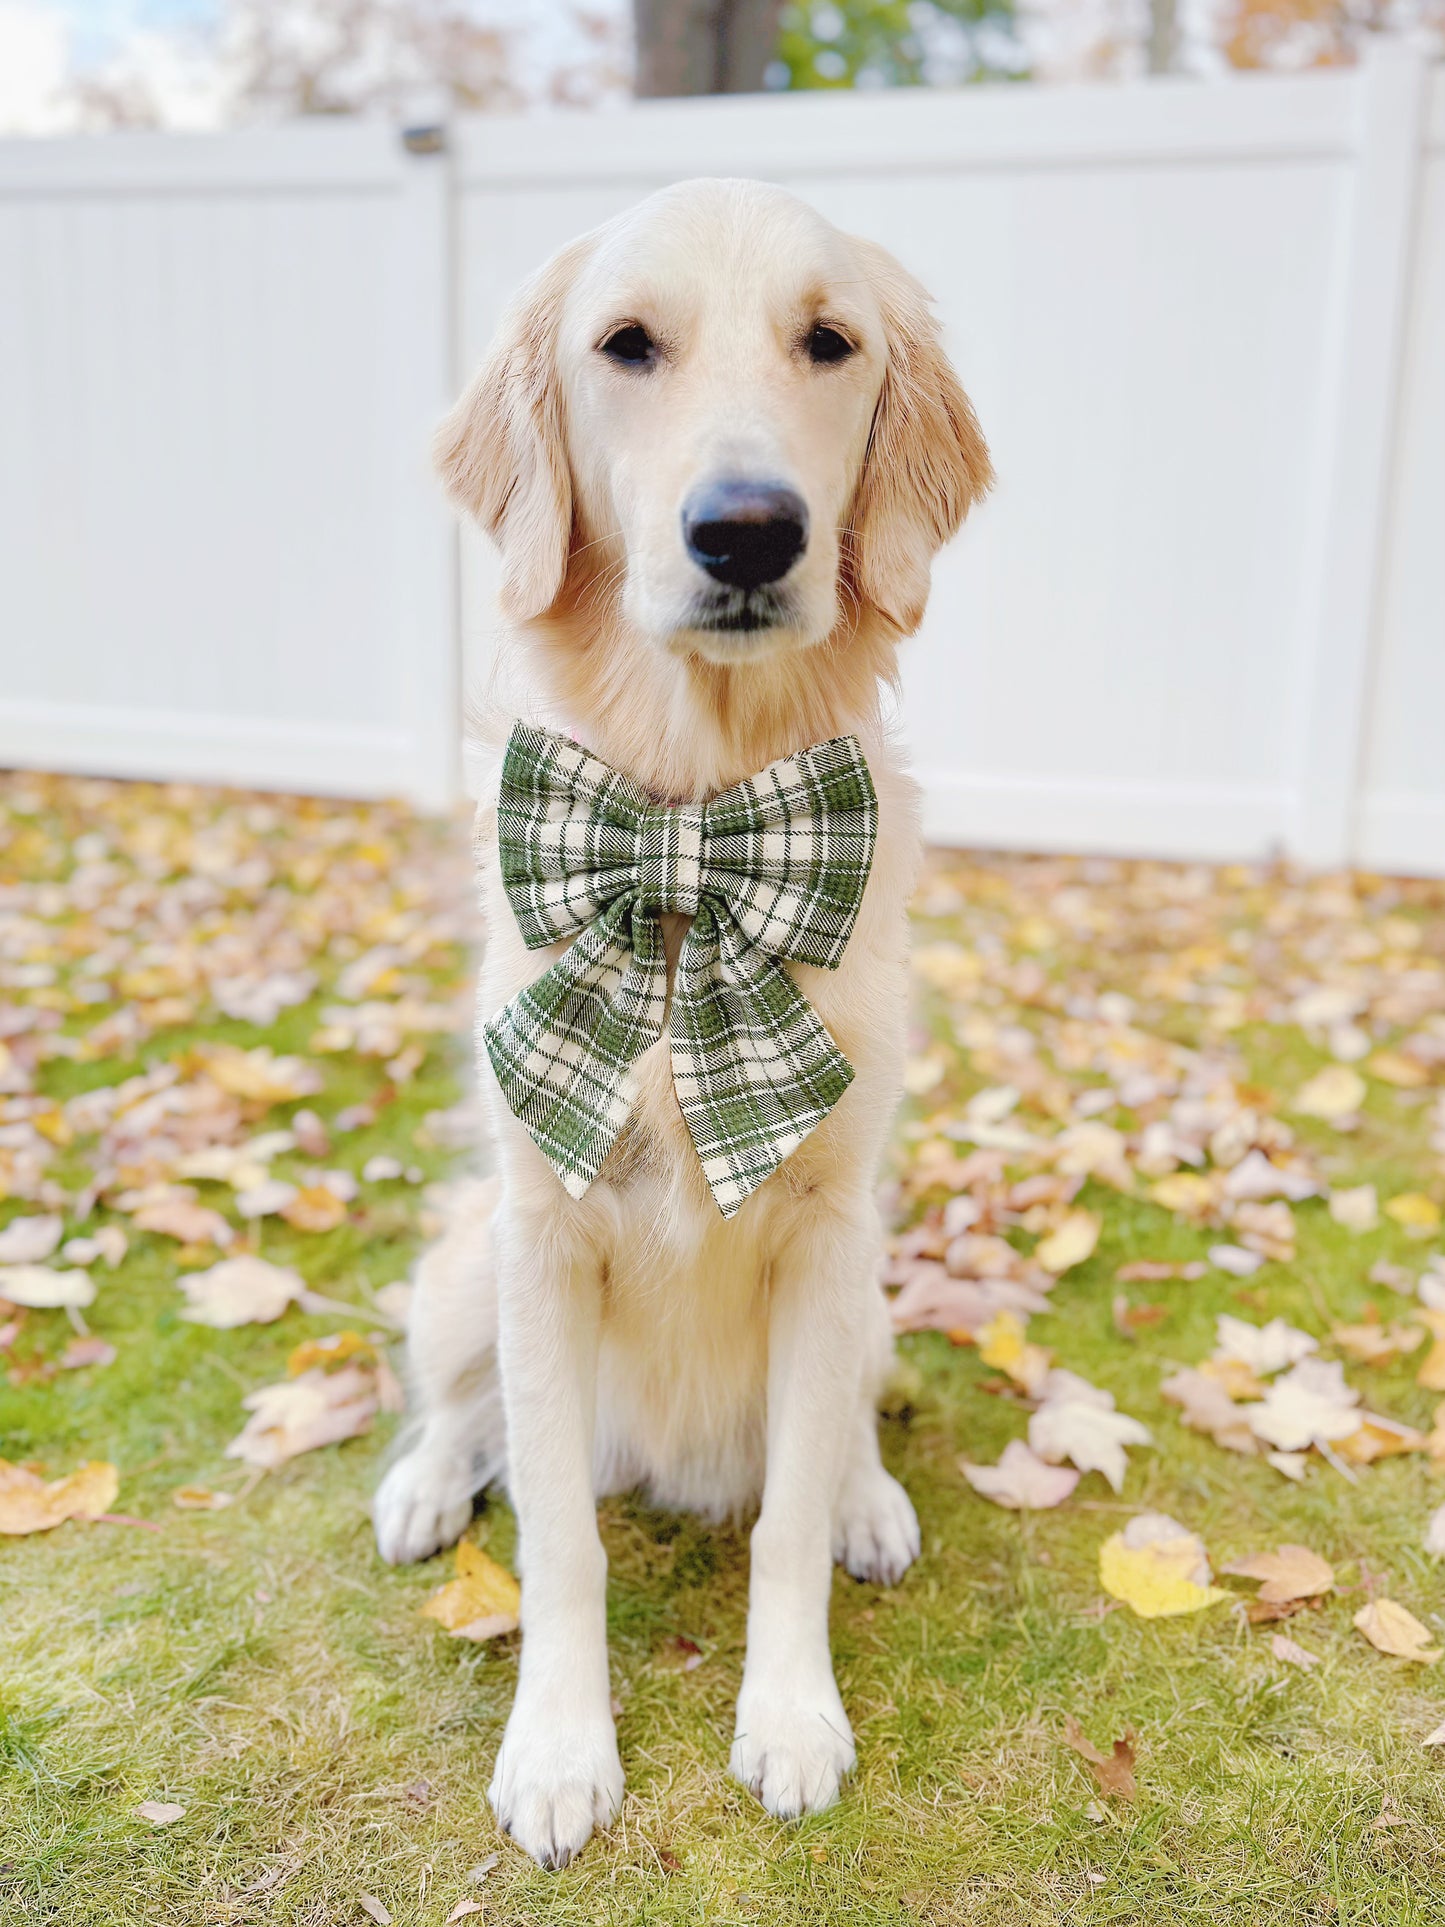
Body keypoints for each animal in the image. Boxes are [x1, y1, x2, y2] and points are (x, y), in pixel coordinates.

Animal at [373, 181, 994, 1865]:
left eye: (829, 341)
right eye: (626, 344)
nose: (748, 529)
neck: (694, 827)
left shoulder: (829, 1227)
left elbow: (781, 1514)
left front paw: (788, 1714)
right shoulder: (539, 1231)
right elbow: (559, 1537)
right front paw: (557, 1747)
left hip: (875, 1289)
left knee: (839, 1439)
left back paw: (868, 1499)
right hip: (461, 1269)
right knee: (462, 1411)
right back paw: (424, 1480)